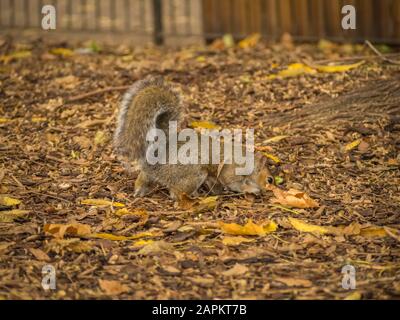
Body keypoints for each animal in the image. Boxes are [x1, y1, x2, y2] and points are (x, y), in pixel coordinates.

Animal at [113, 76, 276, 200]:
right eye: (270, 179)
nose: (268, 191)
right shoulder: (231, 172)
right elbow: (235, 184)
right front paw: (251, 190)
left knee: (144, 178)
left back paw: (139, 190)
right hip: (194, 173)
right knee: (176, 193)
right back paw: (195, 197)